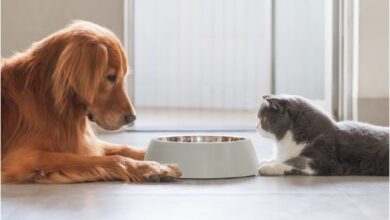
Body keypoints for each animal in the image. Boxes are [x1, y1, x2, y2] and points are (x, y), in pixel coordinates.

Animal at [1, 20, 181, 183]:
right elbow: (112, 158)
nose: (132, 118)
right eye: (110, 77)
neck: (50, 100)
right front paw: (152, 167)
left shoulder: (85, 142)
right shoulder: (25, 157)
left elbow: (124, 148)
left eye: (124, 76)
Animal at [258, 94, 388, 175]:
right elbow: (279, 158)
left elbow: (293, 162)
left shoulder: (319, 159)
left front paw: (266, 167)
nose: (256, 126)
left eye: (262, 118)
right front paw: (264, 161)